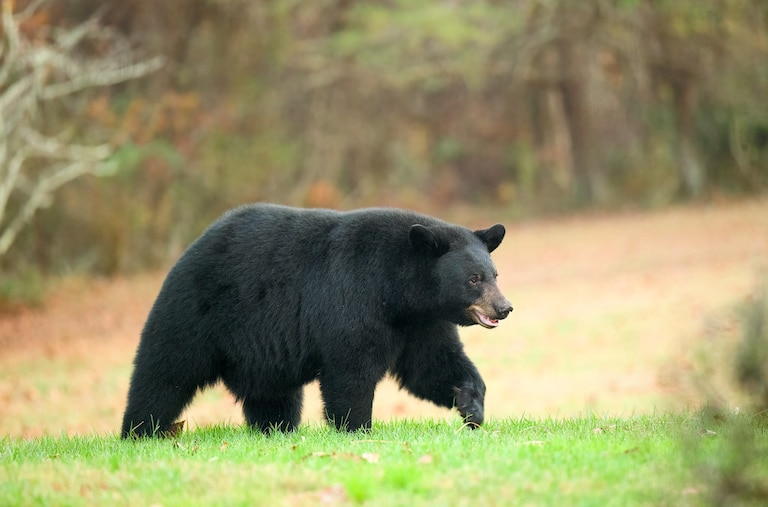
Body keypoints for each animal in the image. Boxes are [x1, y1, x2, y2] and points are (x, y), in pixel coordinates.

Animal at [121, 204, 512, 438]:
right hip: (197, 314)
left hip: (261, 353)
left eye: (495, 274)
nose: (504, 307)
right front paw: (356, 428)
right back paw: (139, 431)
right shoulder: (354, 298)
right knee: (164, 373)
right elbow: (351, 369)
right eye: (474, 278)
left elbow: (431, 365)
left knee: (273, 395)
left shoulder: (420, 322)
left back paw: (275, 430)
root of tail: (193, 246)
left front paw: (471, 406)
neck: (398, 290)